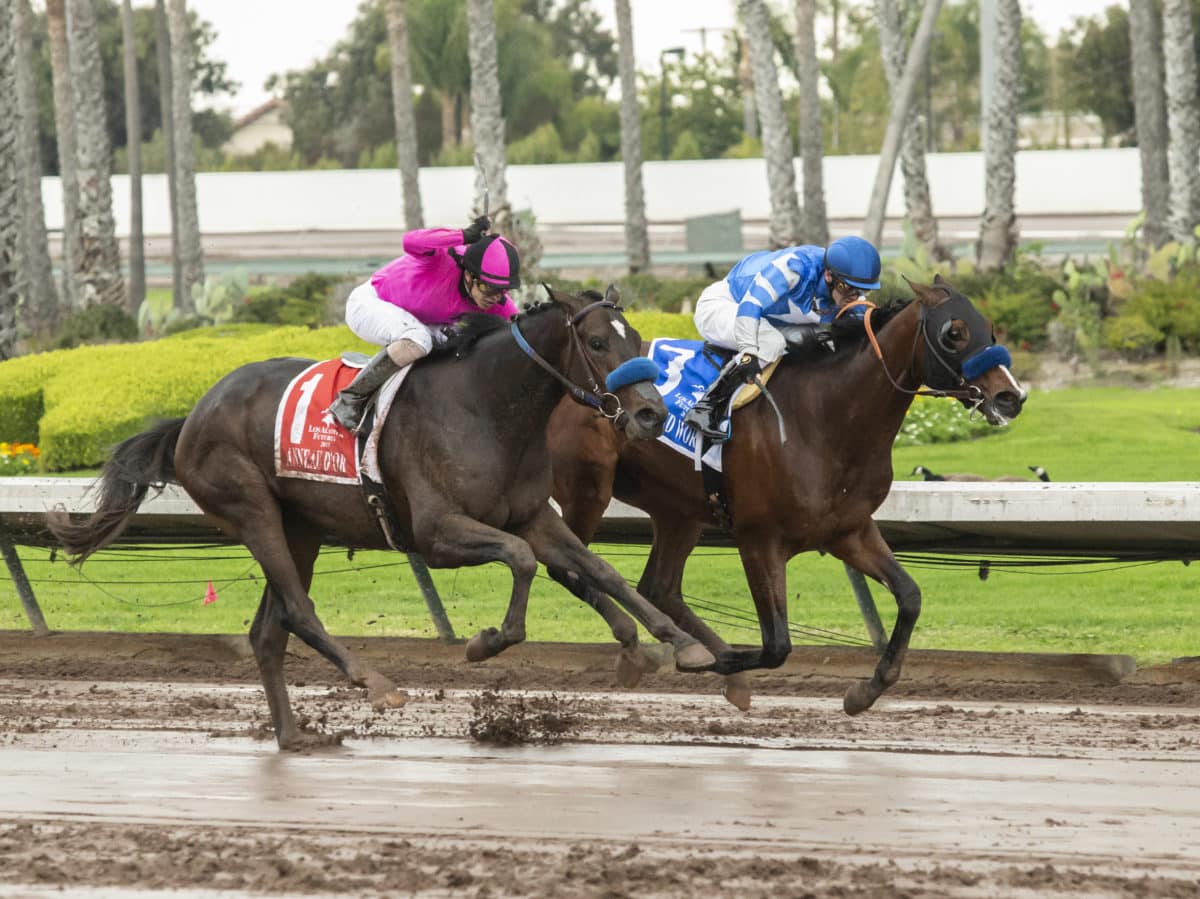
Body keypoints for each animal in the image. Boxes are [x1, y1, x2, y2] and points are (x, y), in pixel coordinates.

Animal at [51, 285, 715, 744]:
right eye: (598, 343)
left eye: (636, 337)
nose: (651, 414)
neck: (488, 405)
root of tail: (192, 415)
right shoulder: (437, 534)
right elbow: (522, 561)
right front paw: (486, 642)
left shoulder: (533, 515)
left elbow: (598, 570)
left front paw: (679, 645)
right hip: (252, 510)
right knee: (297, 610)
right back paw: (377, 685)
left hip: (300, 528)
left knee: (269, 629)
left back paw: (295, 737)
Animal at [549, 277, 1027, 710]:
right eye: (953, 333)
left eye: (989, 328)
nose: (1010, 395)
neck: (823, 418)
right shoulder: (758, 538)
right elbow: (777, 644)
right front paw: (717, 663)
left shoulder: (848, 531)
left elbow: (909, 596)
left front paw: (866, 690)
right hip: (589, 489)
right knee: (569, 568)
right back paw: (654, 655)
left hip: (679, 509)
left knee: (658, 587)